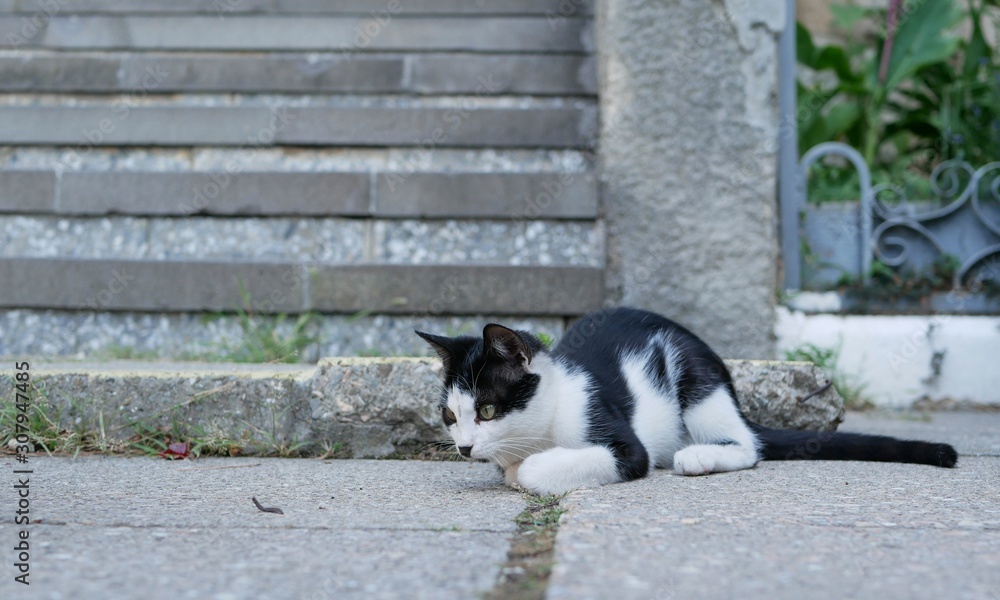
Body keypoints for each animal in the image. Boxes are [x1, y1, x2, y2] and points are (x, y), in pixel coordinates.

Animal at [416, 308, 960, 494]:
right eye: (450, 416)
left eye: (488, 410)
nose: (464, 447)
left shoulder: (623, 444)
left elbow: (535, 470)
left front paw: (529, 469)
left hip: (698, 379)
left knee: (749, 445)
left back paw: (699, 455)